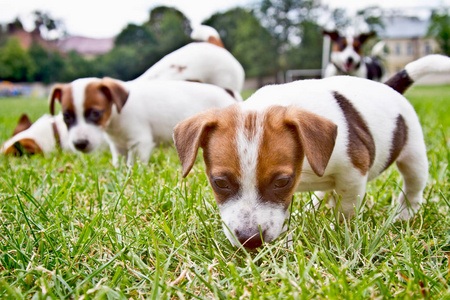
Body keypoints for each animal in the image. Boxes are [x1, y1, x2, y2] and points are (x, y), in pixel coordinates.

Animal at [174, 54, 450, 248]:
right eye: (219, 183)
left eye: (282, 182)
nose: (250, 241)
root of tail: (389, 87)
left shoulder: (353, 175)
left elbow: (346, 209)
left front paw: (341, 231)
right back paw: (313, 206)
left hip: (414, 155)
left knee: (413, 186)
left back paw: (406, 214)